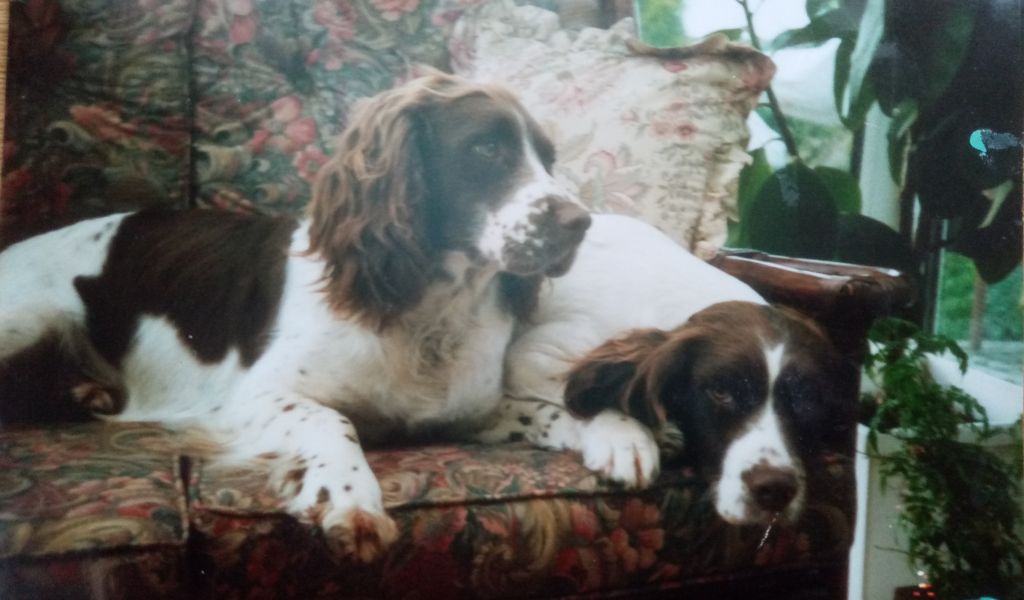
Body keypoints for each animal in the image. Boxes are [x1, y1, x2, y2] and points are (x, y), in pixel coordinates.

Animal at [0, 73, 593, 561]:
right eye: (486, 148)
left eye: (549, 159)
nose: (581, 222)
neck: (426, 312)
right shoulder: (248, 396)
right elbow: (332, 419)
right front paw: (352, 499)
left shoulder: (466, 411)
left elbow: (538, 410)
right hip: (31, 317)